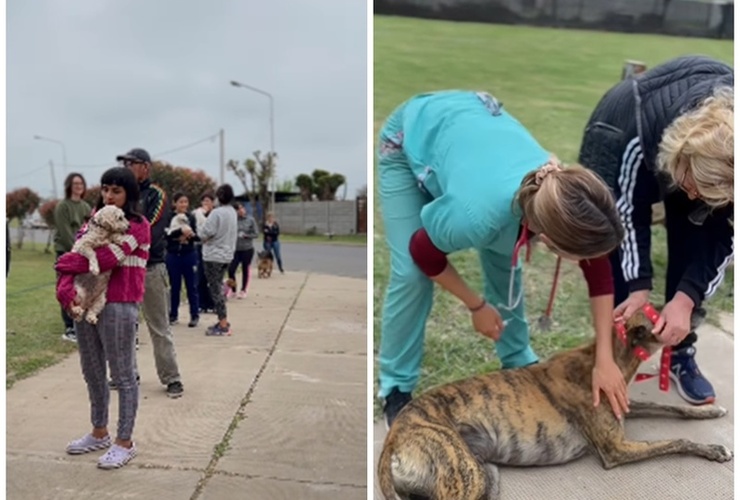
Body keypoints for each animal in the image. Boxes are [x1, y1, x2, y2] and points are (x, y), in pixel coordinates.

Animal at [378, 306, 732, 498]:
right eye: (663, 314)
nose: (699, 308)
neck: (607, 359)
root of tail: (392, 438)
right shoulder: (615, 449)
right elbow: (676, 440)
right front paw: (715, 450)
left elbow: (672, 408)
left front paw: (710, 409)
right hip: (465, 476)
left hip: (483, 472)